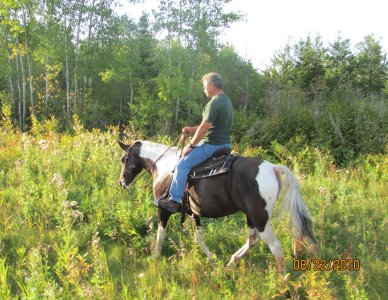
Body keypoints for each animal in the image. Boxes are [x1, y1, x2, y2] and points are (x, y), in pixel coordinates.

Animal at [118, 139, 318, 274]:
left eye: (124, 159)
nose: (121, 182)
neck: (164, 167)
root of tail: (273, 168)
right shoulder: (193, 212)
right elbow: (199, 238)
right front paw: (213, 259)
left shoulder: (163, 209)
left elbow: (160, 235)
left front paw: (154, 257)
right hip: (251, 216)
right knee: (253, 239)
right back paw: (231, 262)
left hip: (260, 219)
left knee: (275, 246)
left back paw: (282, 280)